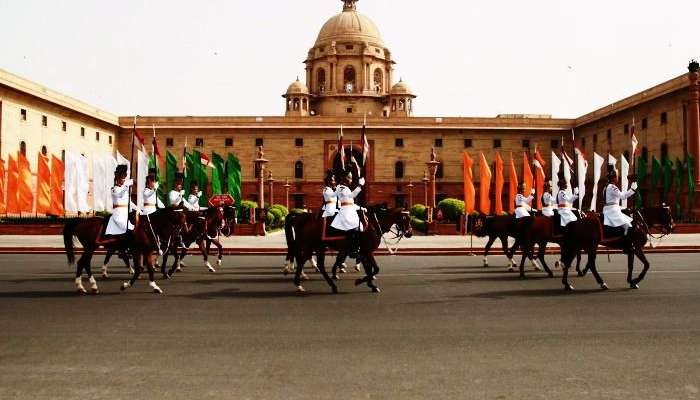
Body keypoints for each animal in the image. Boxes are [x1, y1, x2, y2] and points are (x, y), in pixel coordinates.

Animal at [284, 206, 412, 294]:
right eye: (404, 218)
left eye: (410, 218)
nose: (410, 233)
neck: (374, 224)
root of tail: (302, 217)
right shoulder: (367, 251)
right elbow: (375, 269)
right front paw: (360, 281)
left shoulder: (363, 252)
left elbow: (369, 269)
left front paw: (371, 284)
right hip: (314, 246)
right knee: (306, 260)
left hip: (315, 246)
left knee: (307, 261)